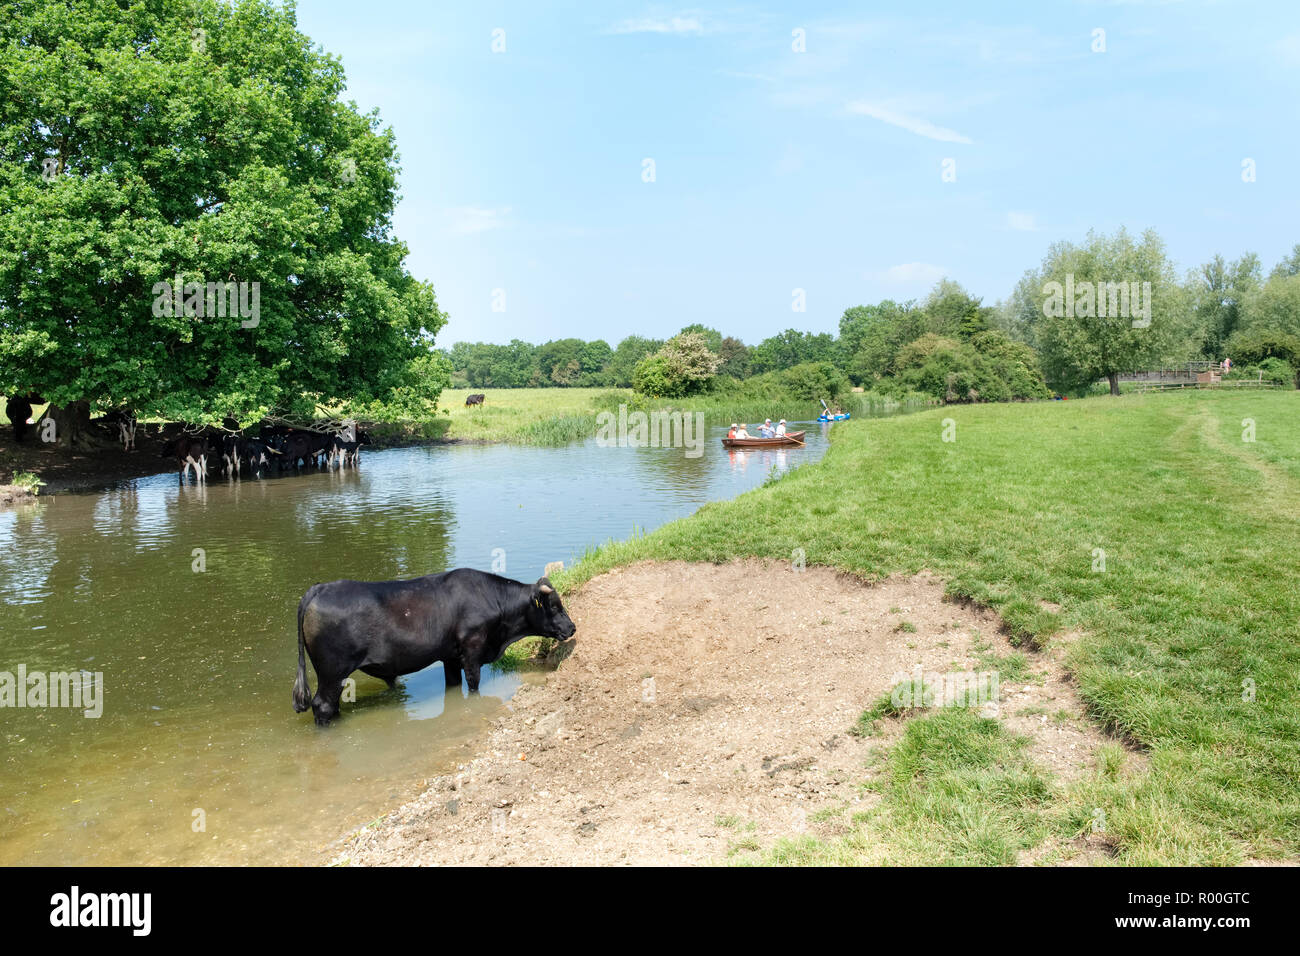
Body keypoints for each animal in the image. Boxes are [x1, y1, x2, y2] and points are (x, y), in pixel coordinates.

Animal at [297, 567, 582, 723]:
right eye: (554, 606)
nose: (572, 628)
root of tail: (319, 588)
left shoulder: (450, 657)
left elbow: (453, 687)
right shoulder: (472, 651)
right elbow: (473, 684)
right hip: (333, 671)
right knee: (323, 705)